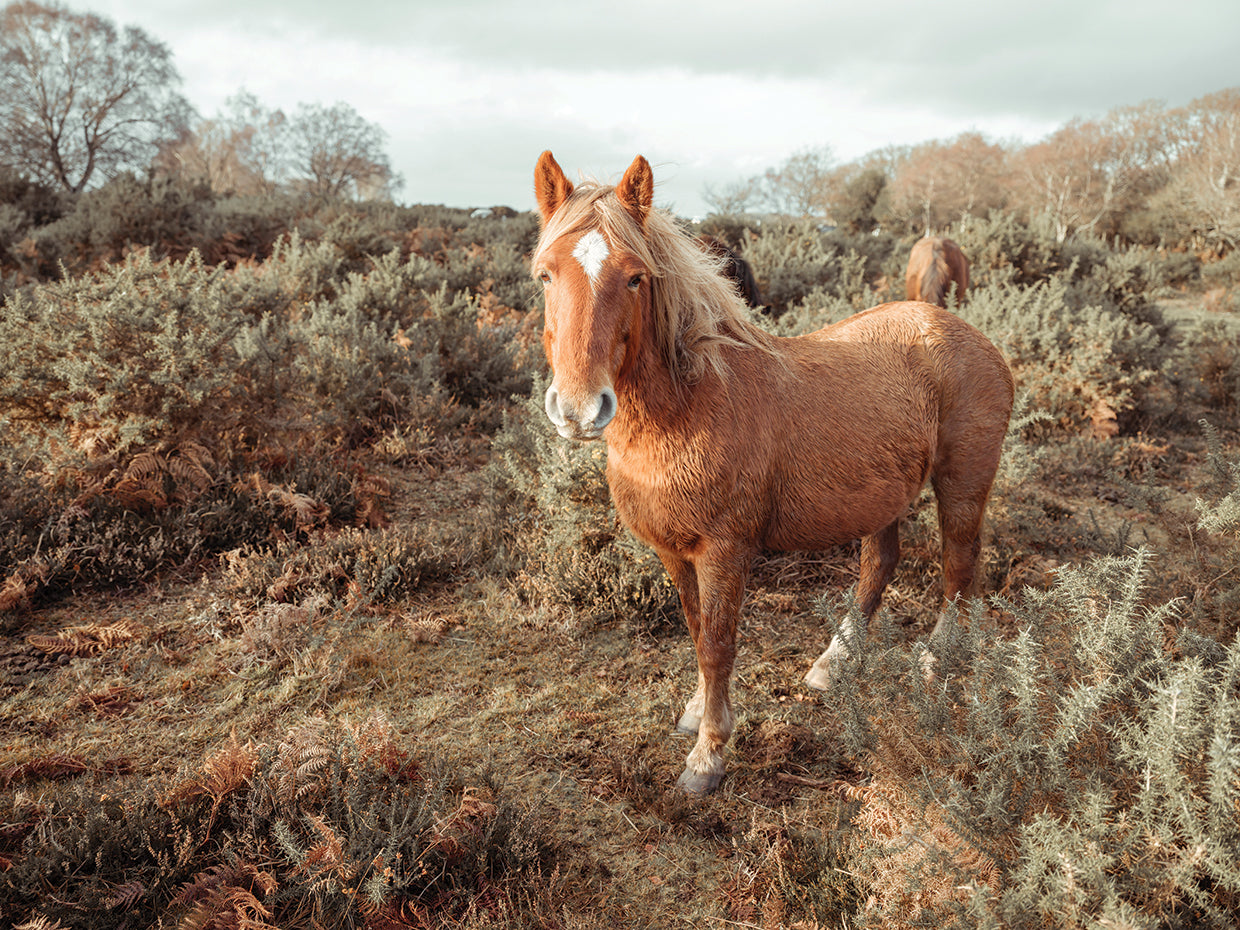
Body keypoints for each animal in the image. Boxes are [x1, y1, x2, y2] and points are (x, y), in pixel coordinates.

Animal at [533, 151, 1014, 794]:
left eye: (635, 277)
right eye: (546, 276)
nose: (580, 409)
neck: (690, 406)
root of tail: (965, 333)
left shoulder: (724, 551)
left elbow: (717, 644)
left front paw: (708, 756)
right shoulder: (671, 551)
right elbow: (695, 630)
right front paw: (697, 713)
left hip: (962, 484)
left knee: (959, 567)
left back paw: (937, 658)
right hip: (884, 494)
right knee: (879, 563)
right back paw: (835, 663)